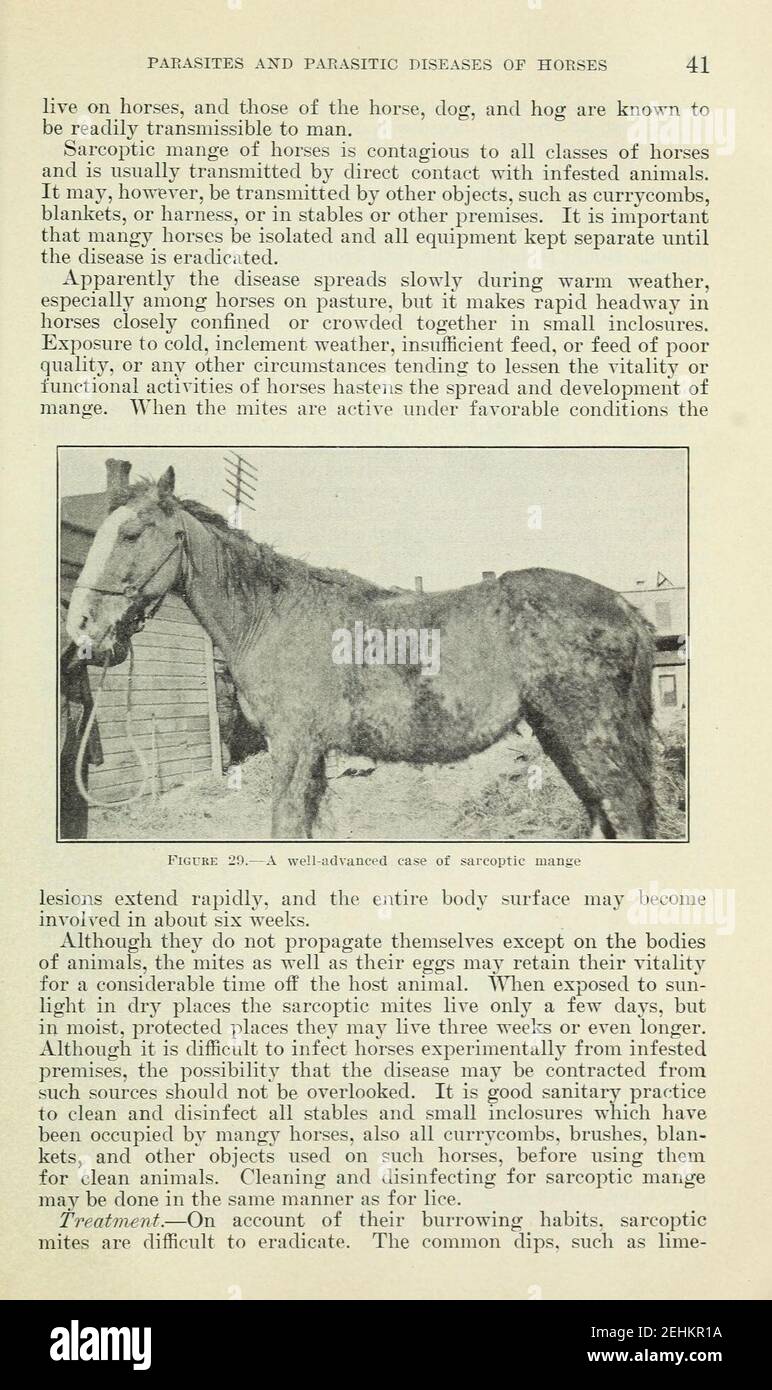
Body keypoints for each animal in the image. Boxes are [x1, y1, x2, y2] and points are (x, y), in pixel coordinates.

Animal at [66, 467, 657, 840]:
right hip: (559, 735)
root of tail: (624, 609)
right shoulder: (314, 755)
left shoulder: (293, 747)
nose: (81, 626)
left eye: (131, 533)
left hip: (590, 735)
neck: (271, 615)